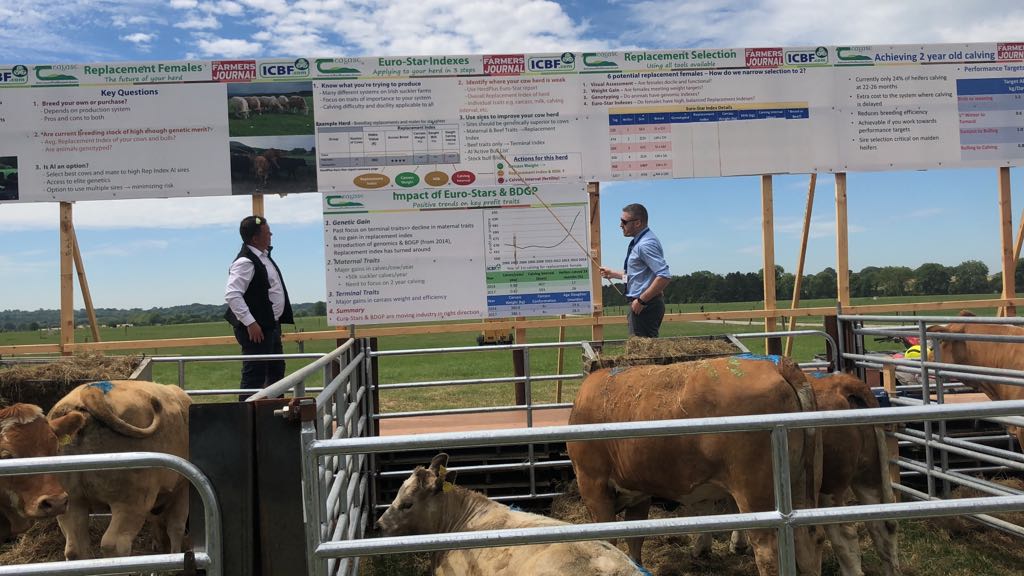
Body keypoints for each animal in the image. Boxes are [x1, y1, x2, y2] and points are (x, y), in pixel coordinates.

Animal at [48, 379, 192, 557]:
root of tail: (90, 393)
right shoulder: (183, 488)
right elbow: (176, 527)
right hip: (130, 501)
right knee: (114, 544)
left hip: (71, 502)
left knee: (75, 548)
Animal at [569, 354, 823, 573]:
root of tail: (777, 365)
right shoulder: (638, 492)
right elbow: (635, 539)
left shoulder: (593, 484)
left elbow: (607, 540)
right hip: (800, 483)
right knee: (808, 544)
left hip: (757, 494)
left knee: (768, 552)